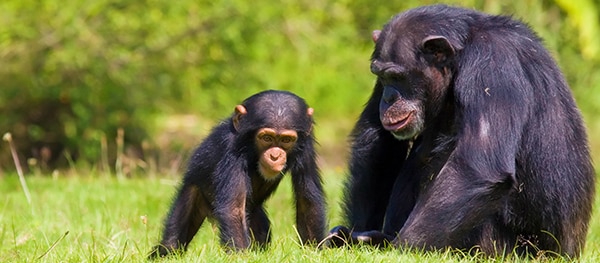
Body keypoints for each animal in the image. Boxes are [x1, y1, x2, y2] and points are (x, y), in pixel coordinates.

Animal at [150, 90, 326, 258]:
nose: (275, 155)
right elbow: (234, 209)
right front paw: (240, 255)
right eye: (266, 138)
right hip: (192, 191)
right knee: (172, 242)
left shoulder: (307, 146)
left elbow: (307, 200)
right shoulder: (231, 148)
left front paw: (313, 251)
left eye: (286, 140)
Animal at [328, 4, 596, 260]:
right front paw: (357, 236)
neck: (461, 55)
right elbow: (379, 143)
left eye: (398, 76)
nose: (389, 98)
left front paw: (399, 249)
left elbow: (477, 168)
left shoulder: (492, 64)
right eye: (382, 76)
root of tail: (568, 252)